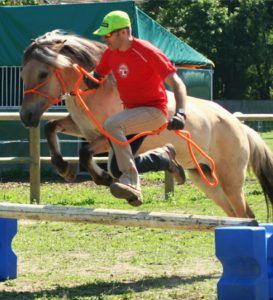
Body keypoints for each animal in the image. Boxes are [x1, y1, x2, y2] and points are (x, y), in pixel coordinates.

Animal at [20, 29, 272, 218]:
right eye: (23, 75)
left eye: (43, 74)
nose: (26, 117)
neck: (99, 91)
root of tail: (240, 126)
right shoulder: (82, 128)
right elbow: (51, 127)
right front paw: (64, 168)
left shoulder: (110, 137)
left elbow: (85, 153)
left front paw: (104, 179)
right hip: (205, 177)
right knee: (236, 213)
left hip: (230, 179)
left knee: (244, 214)